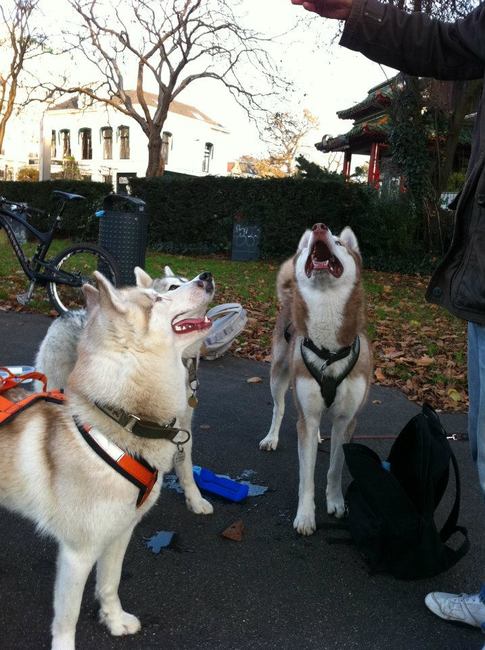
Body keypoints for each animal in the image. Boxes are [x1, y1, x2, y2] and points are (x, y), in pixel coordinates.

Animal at [35, 265, 213, 516]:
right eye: (172, 288)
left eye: (186, 279)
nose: (206, 277)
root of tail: (69, 313)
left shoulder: (182, 426)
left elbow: (186, 467)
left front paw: (195, 500)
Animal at [259, 223, 373, 535]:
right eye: (318, 234)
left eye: (338, 242)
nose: (319, 227)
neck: (329, 350)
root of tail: (289, 298)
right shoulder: (306, 418)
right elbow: (306, 476)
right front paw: (305, 516)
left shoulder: (347, 420)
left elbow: (335, 468)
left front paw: (336, 503)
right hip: (278, 375)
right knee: (278, 408)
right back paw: (271, 437)